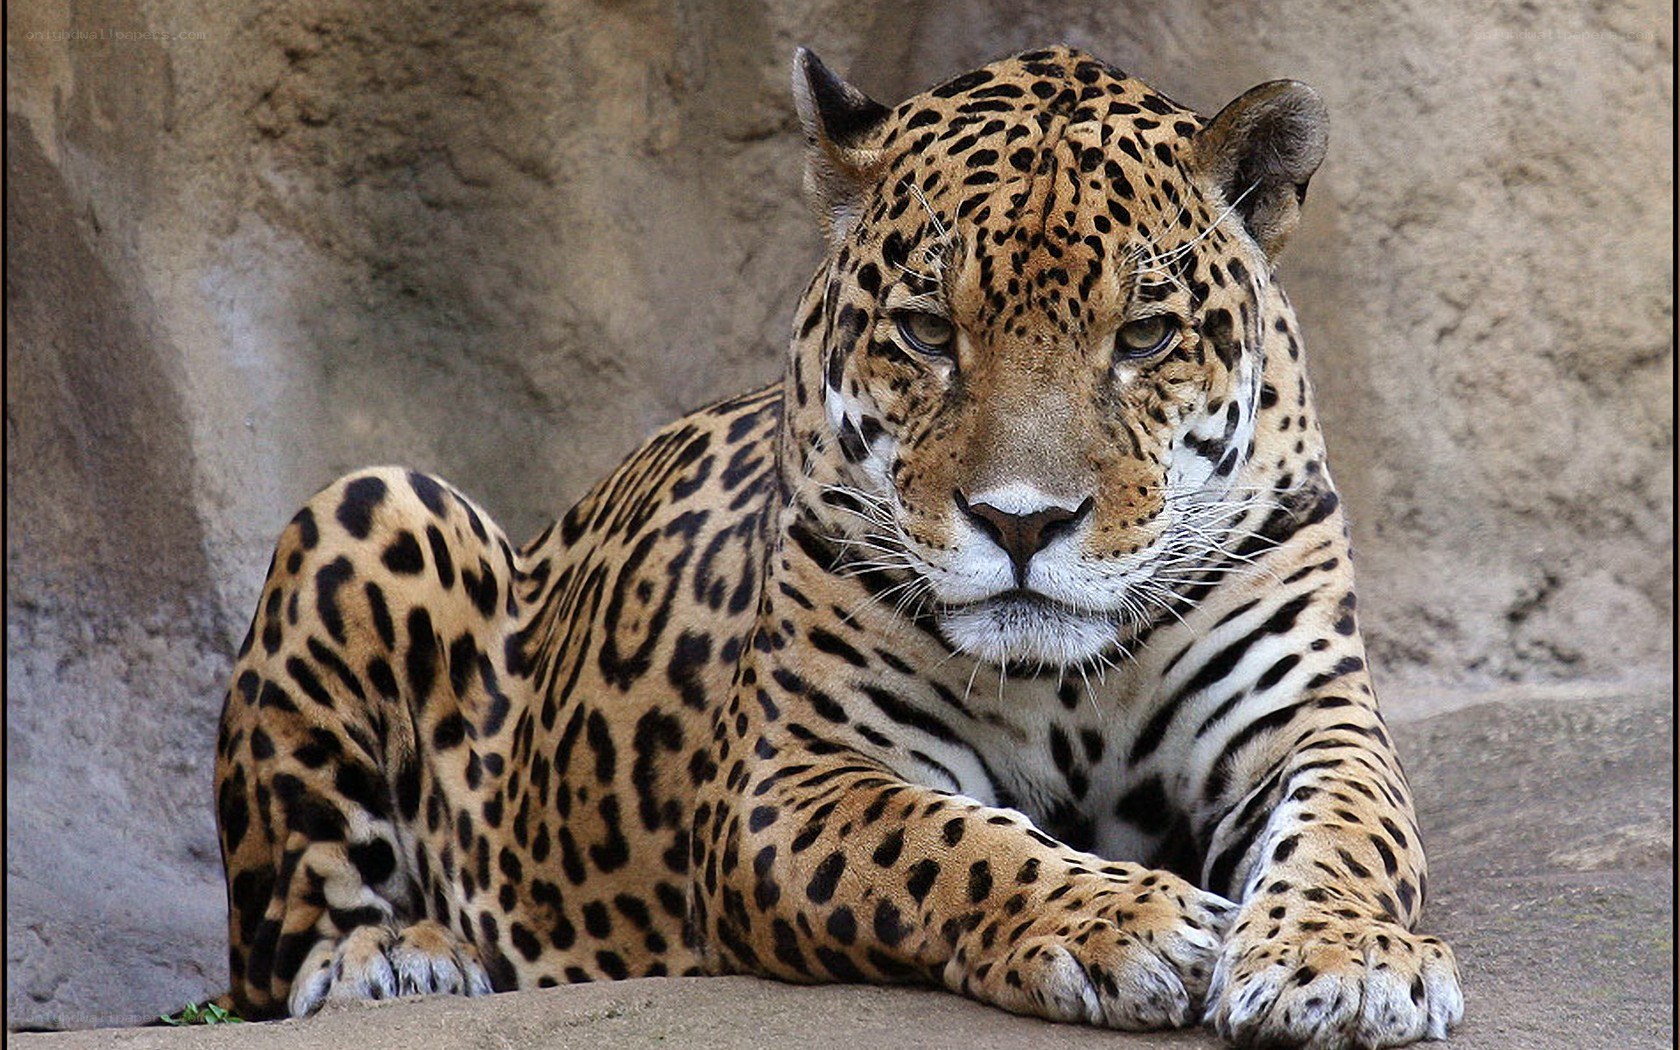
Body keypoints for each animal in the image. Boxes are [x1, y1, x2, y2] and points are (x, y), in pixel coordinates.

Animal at [213, 45, 1464, 1048]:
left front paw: (1342, 961)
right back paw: (400, 961)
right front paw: (1127, 923)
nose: (1021, 522)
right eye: (926, 331)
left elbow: (1353, 832)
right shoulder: (794, 778)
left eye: (1146, 337)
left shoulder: (1308, 718)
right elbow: (950, 844)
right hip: (374, 502)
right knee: (279, 952)